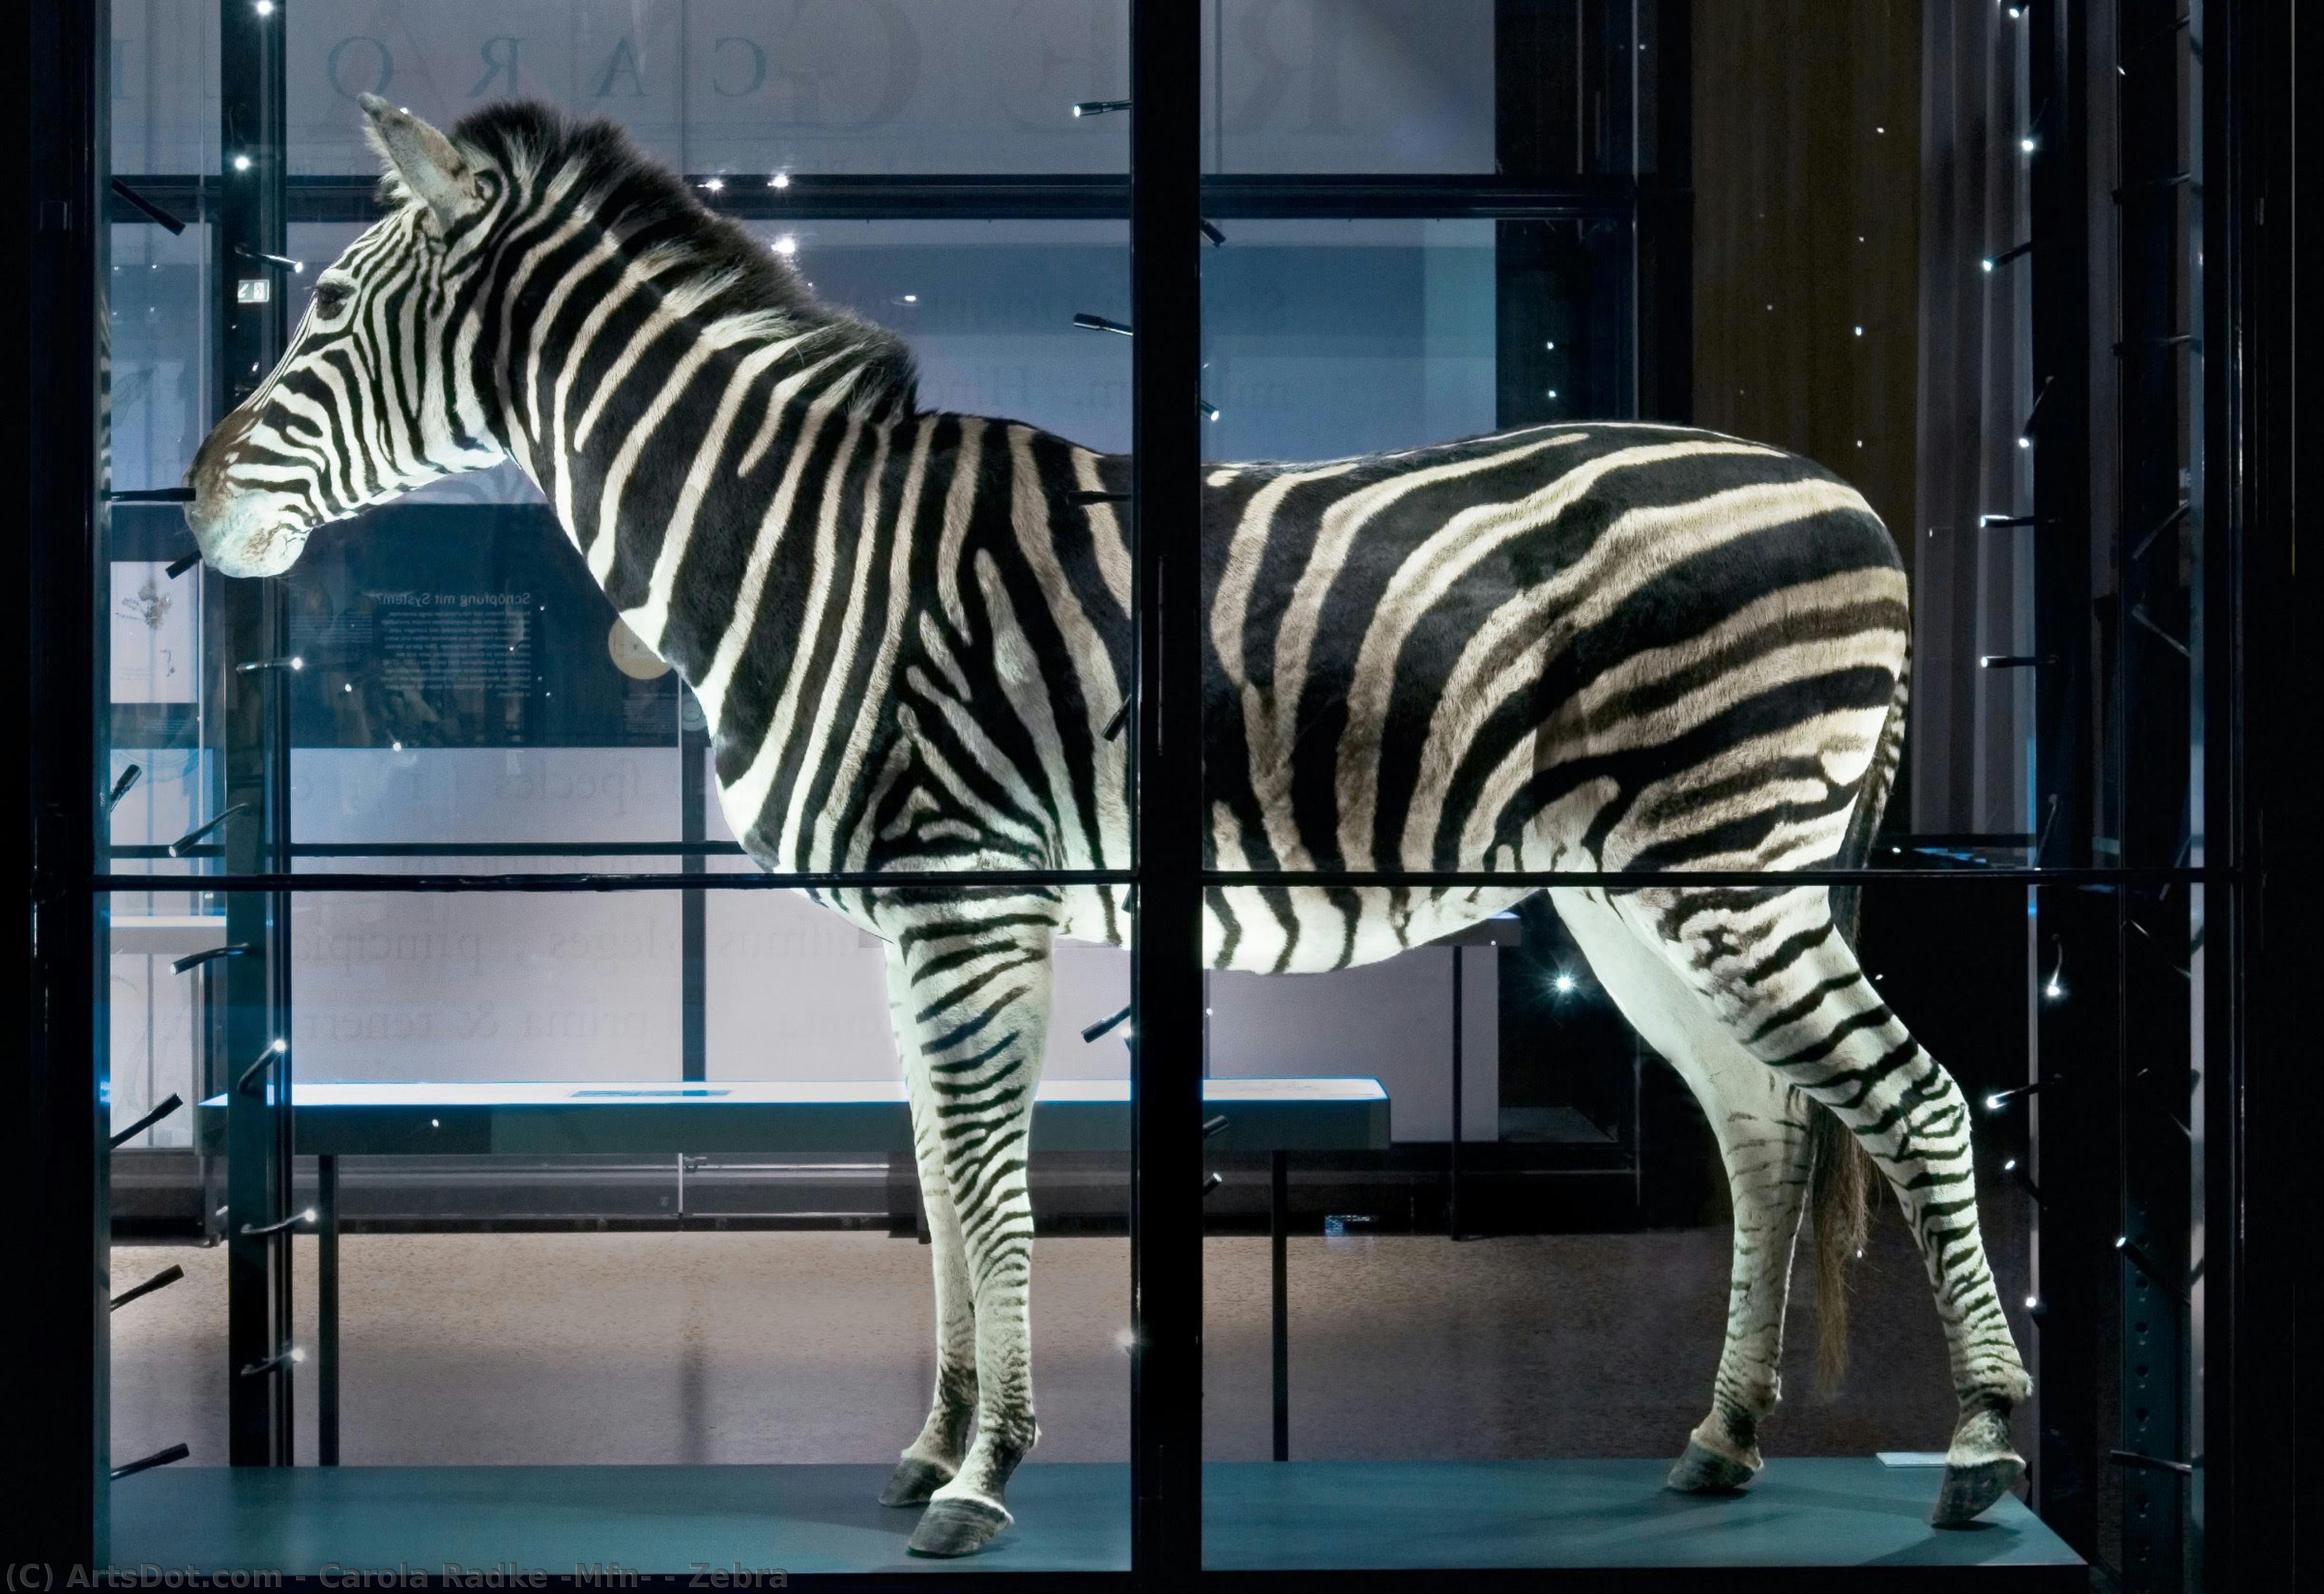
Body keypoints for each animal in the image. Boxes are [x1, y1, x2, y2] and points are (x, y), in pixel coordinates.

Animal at [184, 97, 2030, 1556]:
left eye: (327, 308)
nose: (194, 502)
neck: (807, 543)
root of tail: (1848, 494)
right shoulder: (924, 918)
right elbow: (940, 1179)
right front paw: (934, 1440)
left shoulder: (965, 896)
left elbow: (987, 1184)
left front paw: (981, 1474)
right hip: (1646, 895)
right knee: (1766, 1129)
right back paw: (1722, 1438)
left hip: (1733, 872)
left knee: (1917, 1098)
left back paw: (1978, 1447)